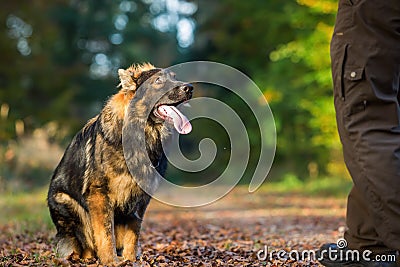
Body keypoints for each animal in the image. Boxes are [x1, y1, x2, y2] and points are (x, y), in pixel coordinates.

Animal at [47, 64, 194, 266]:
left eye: (174, 77)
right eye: (158, 81)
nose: (189, 88)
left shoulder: (139, 200)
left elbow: (133, 233)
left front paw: (131, 259)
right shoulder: (99, 195)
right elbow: (106, 233)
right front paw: (111, 261)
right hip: (68, 205)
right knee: (84, 247)